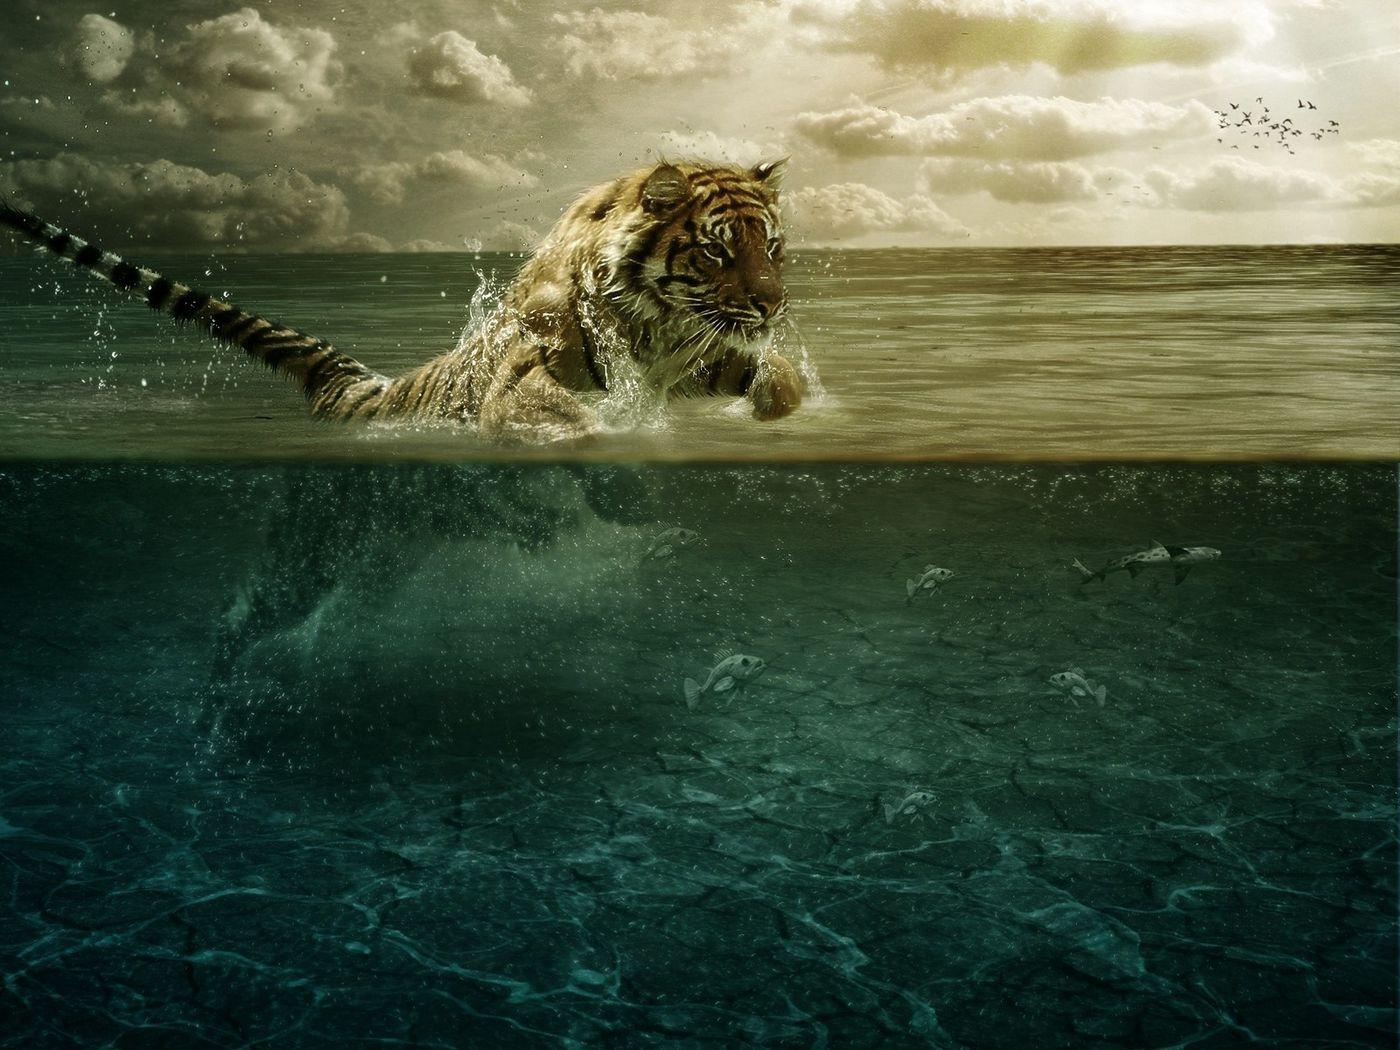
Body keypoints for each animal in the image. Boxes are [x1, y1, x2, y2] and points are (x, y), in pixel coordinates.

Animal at [0, 159, 803, 441]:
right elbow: (566, 417)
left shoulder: (705, 354)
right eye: (716, 251)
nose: (772, 307)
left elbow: (777, 381)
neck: (657, 329)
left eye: (772, 247)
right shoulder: (524, 378)